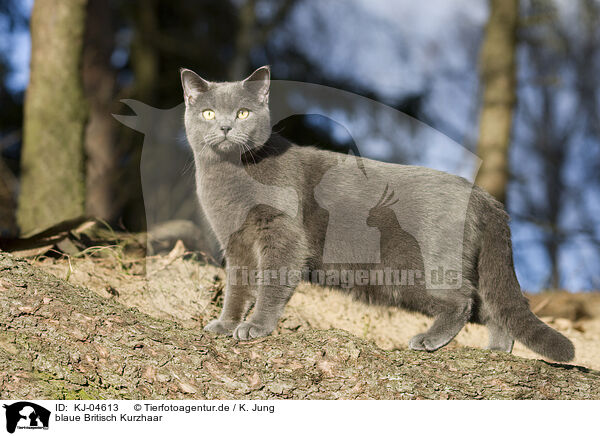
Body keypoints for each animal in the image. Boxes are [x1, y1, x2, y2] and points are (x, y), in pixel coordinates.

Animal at [180, 65, 576, 362]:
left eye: (243, 112)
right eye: (208, 113)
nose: (225, 126)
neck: (230, 177)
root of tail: (485, 197)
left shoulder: (281, 235)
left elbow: (271, 282)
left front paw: (256, 326)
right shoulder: (235, 243)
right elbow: (237, 286)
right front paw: (224, 324)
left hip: (424, 268)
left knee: (465, 300)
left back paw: (430, 340)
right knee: (491, 306)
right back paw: (495, 351)